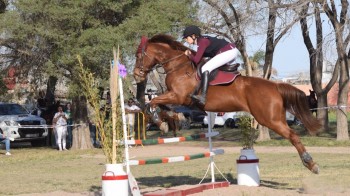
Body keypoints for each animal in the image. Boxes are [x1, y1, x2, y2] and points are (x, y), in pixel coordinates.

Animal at [133, 34, 322, 174]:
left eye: (138, 56)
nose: (136, 75)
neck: (178, 66)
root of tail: (274, 86)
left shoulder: (178, 96)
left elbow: (153, 102)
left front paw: (159, 122)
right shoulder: (175, 97)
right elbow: (160, 104)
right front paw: (166, 120)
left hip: (270, 119)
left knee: (293, 135)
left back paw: (311, 163)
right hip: (273, 118)